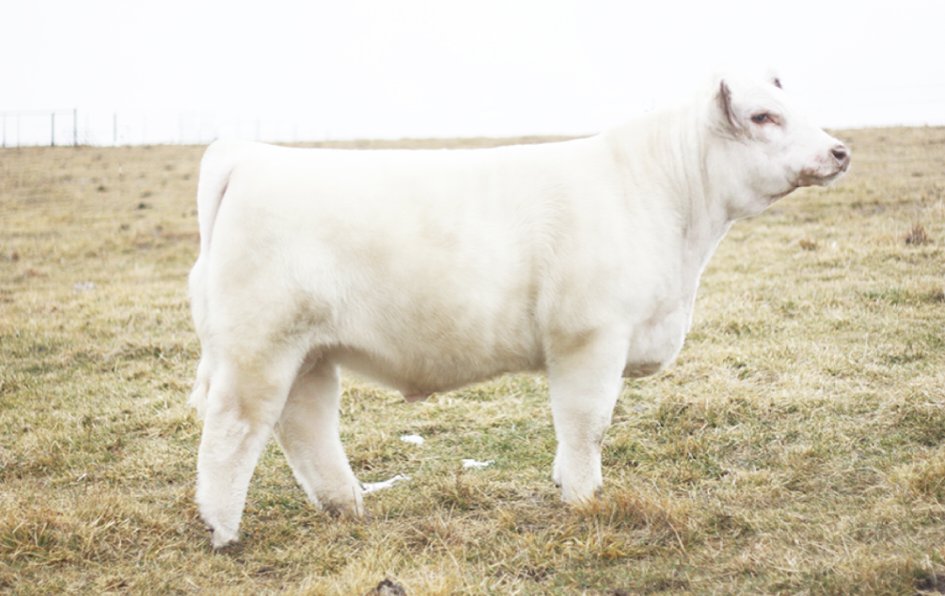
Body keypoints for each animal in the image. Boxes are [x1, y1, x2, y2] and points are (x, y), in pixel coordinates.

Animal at [187, 73, 850, 548]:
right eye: (763, 116)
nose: (840, 151)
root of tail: (248, 157)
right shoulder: (590, 335)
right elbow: (587, 423)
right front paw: (584, 499)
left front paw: (566, 483)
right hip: (258, 346)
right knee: (234, 429)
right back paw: (225, 532)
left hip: (309, 351)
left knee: (305, 424)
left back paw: (348, 507)